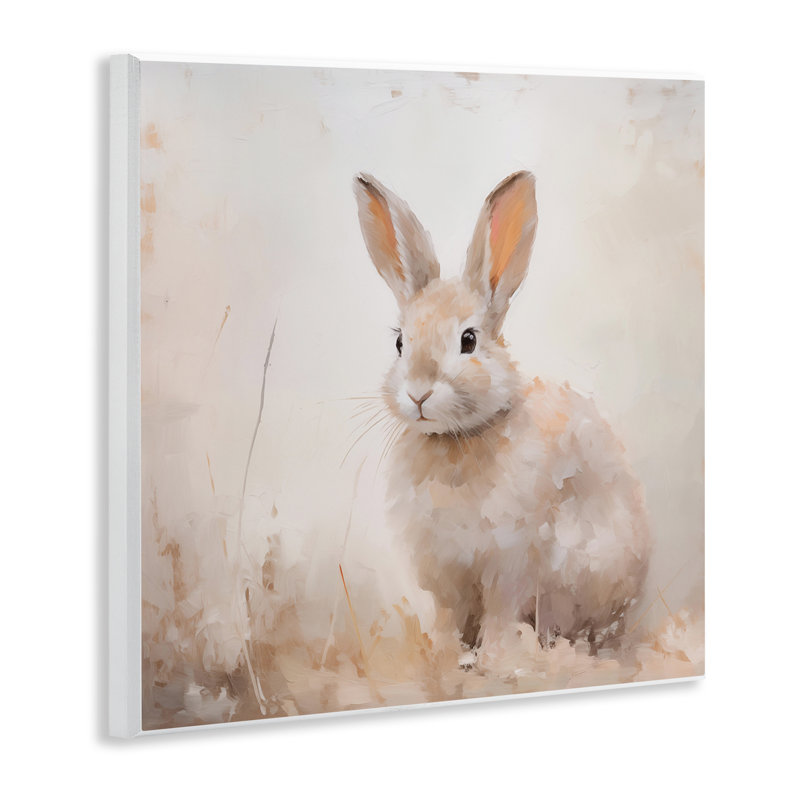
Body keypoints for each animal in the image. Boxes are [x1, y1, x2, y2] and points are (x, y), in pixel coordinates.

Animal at [353, 170, 650, 667]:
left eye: (469, 340)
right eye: (399, 342)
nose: (418, 393)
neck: (456, 440)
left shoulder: (509, 563)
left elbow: (499, 612)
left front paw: (494, 659)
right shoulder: (446, 575)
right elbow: (448, 618)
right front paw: (442, 655)